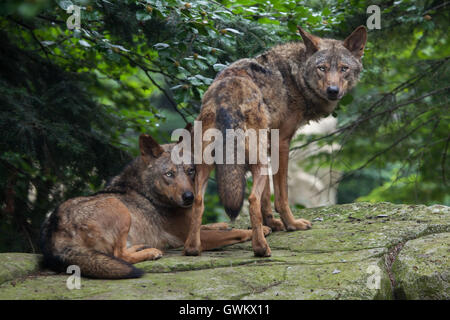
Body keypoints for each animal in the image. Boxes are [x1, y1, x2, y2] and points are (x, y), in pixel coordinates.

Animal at [185, 25, 368, 258]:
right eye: (322, 68)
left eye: (344, 68)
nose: (333, 91)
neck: (296, 77)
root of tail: (225, 93)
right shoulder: (282, 143)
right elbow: (280, 196)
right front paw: (291, 224)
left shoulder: (269, 146)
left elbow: (267, 196)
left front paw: (272, 224)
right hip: (257, 160)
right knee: (251, 200)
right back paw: (261, 248)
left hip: (208, 165)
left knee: (199, 201)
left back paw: (193, 249)